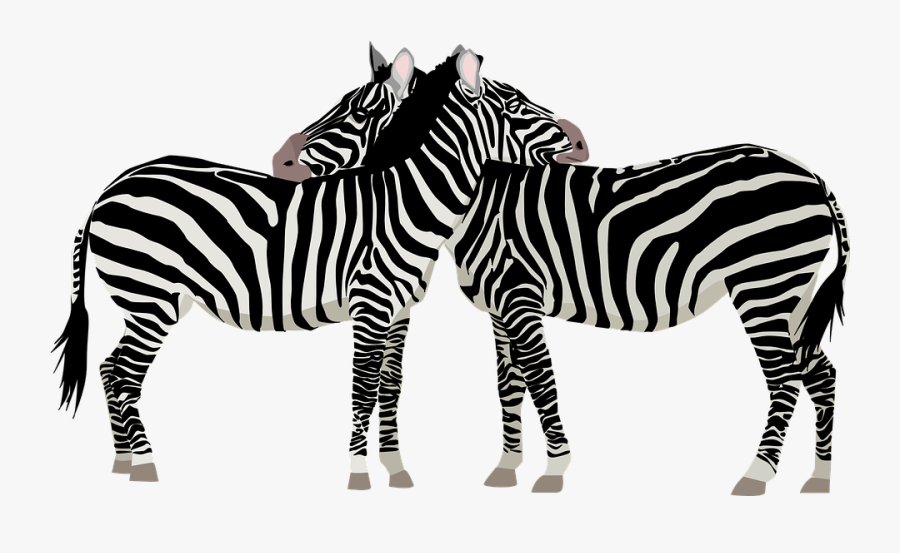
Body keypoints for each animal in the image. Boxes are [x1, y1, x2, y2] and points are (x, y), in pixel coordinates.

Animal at [52, 47, 579, 487]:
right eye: (516, 106)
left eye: (359, 112)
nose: (579, 140)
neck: (403, 200)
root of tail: (108, 189)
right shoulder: (371, 304)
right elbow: (362, 386)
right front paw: (358, 475)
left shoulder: (400, 311)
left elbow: (390, 386)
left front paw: (396, 470)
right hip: (149, 296)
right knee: (122, 373)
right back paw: (144, 465)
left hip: (150, 301)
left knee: (107, 368)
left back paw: (122, 462)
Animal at [442, 147, 848, 494]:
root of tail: (811, 174)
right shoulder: (499, 308)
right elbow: (507, 383)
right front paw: (506, 467)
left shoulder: (518, 295)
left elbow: (540, 379)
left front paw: (554, 469)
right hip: (791, 294)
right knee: (821, 374)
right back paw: (820, 477)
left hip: (764, 283)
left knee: (784, 378)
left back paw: (758, 473)